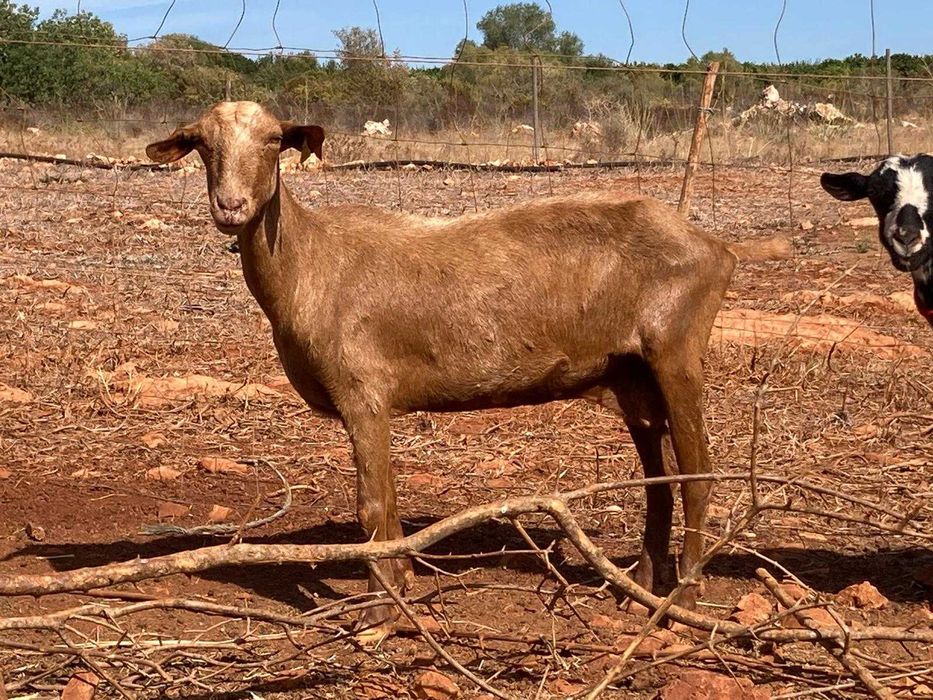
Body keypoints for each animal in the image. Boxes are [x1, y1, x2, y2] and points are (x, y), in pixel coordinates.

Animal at [147, 101, 753, 638]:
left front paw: (378, 616)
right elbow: (389, 506)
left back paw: (682, 603)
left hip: (676, 350)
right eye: (200, 143)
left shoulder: (362, 391)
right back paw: (639, 588)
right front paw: (402, 587)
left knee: (699, 474)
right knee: (660, 476)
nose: (230, 206)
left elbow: (371, 507)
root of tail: (717, 247)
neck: (310, 264)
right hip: (632, 374)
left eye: (274, 140)